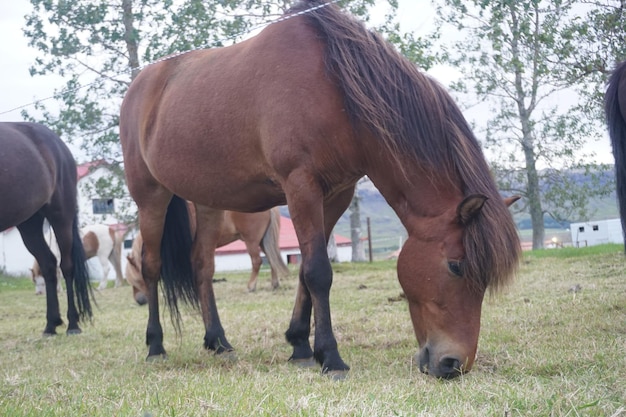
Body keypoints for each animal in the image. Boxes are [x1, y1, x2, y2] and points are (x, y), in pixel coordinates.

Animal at [0, 122, 92, 334]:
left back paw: (72, 325)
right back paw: (51, 324)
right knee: (48, 263)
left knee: (66, 266)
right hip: (30, 224)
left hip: (61, 217)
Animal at [119, 0, 520, 376]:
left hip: (208, 202)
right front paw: (330, 356)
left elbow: (304, 269)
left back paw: (217, 341)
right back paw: (155, 345)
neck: (335, 88)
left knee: (202, 266)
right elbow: (317, 271)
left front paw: (299, 344)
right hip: (150, 195)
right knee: (152, 266)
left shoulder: (336, 195)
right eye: (455, 266)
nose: (453, 364)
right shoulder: (301, 185)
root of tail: (140, 84)